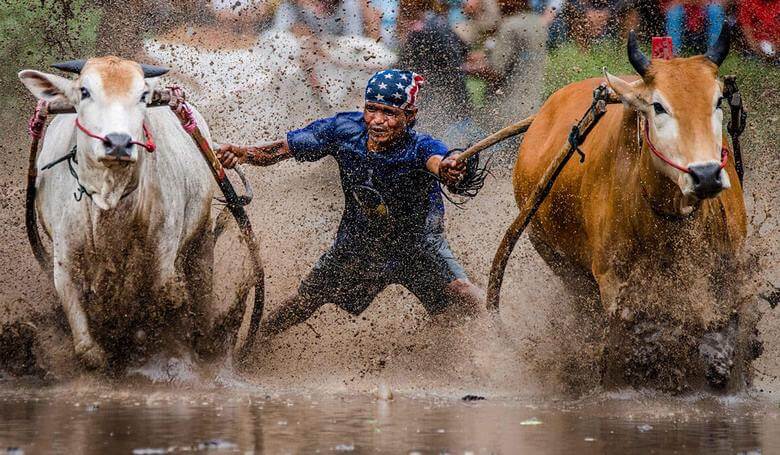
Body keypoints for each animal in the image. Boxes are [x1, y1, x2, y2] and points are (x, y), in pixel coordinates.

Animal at [19, 57, 219, 370]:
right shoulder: (64, 259)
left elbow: (165, 294)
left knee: (201, 279)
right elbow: (86, 348)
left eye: (143, 95)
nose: (118, 142)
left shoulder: (163, 249)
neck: (109, 203)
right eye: (85, 91)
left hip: (202, 236)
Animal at [490, 23, 760, 390]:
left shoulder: (727, 269)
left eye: (717, 100)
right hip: (555, 257)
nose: (705, 175)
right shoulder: (613, 282)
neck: (668, 216)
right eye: (658, 106)